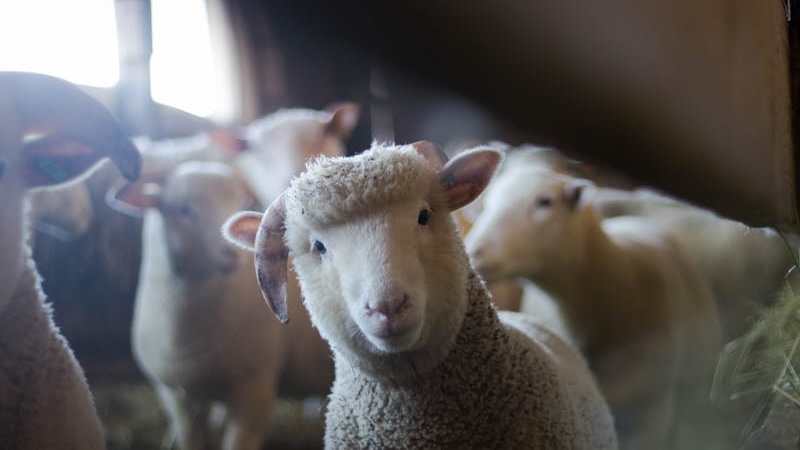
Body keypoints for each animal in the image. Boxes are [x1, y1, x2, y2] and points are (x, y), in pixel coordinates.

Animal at [109, 160, 333, 450]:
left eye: (241, 202)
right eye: (183, 210)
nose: (233, 252)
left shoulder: (255, 387)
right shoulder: (176, 396)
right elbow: (192, 440)